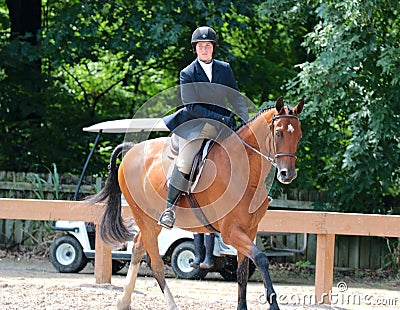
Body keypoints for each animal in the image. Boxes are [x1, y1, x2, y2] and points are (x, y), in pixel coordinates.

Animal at [89, 95, 304, 308]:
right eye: (278, 133)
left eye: (299, 136)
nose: (288, 174)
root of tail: (132, 150)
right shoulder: (230, 232)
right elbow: (261, 258)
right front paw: (273, 303)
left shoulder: (249, 230)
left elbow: (242, 272)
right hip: (144, 217)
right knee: (155, 263)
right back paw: (171, 305)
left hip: (150, 221)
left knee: (138, 248)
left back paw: (123, 302)